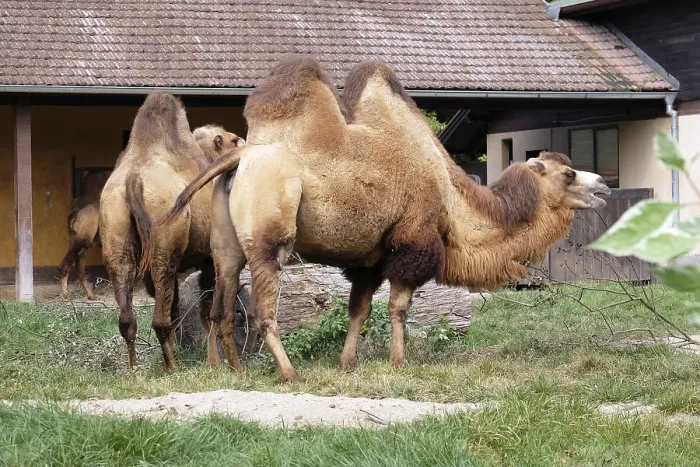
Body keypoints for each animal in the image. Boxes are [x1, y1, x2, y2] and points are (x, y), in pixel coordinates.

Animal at [59, 170, 110, 299]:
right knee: (66, 265)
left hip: (80, 245)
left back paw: (91, 295)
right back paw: (65, 295)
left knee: (78, 271)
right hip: (81, 243)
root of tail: (76, 216)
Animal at [99, 92, 244, 371]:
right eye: (233, 139)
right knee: (160, 318)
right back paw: (173, 368)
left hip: (115, 230)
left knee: (128, 316)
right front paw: (214, 361)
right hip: (163, 246)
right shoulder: (210, 257)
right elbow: (208, 310)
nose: (244, 142)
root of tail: (133, 180)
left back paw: (136, 370)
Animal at [163, 57, 610, 382]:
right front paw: (399, 361)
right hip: (271, 230)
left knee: (220, 302)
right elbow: (398, 307)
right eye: (568, 174)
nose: (603, 185)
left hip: (227, 244)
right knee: (261, 307)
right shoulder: (412, 243)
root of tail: (241, 156)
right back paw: (290, 373)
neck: (450, 198)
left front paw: (346, 363)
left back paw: (231, 370)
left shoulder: (370, 259)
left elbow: (358, 309)